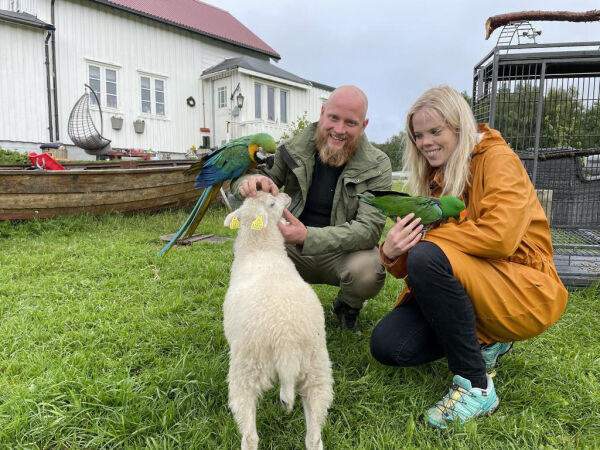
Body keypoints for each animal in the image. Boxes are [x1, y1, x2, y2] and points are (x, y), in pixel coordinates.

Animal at [224, 192, 336, 450]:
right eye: (273, 203)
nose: (285, 194)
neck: (260, 248)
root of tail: (286, 340)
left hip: (246, 370)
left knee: (250, 436)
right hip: (316, 368)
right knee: (314, 436)